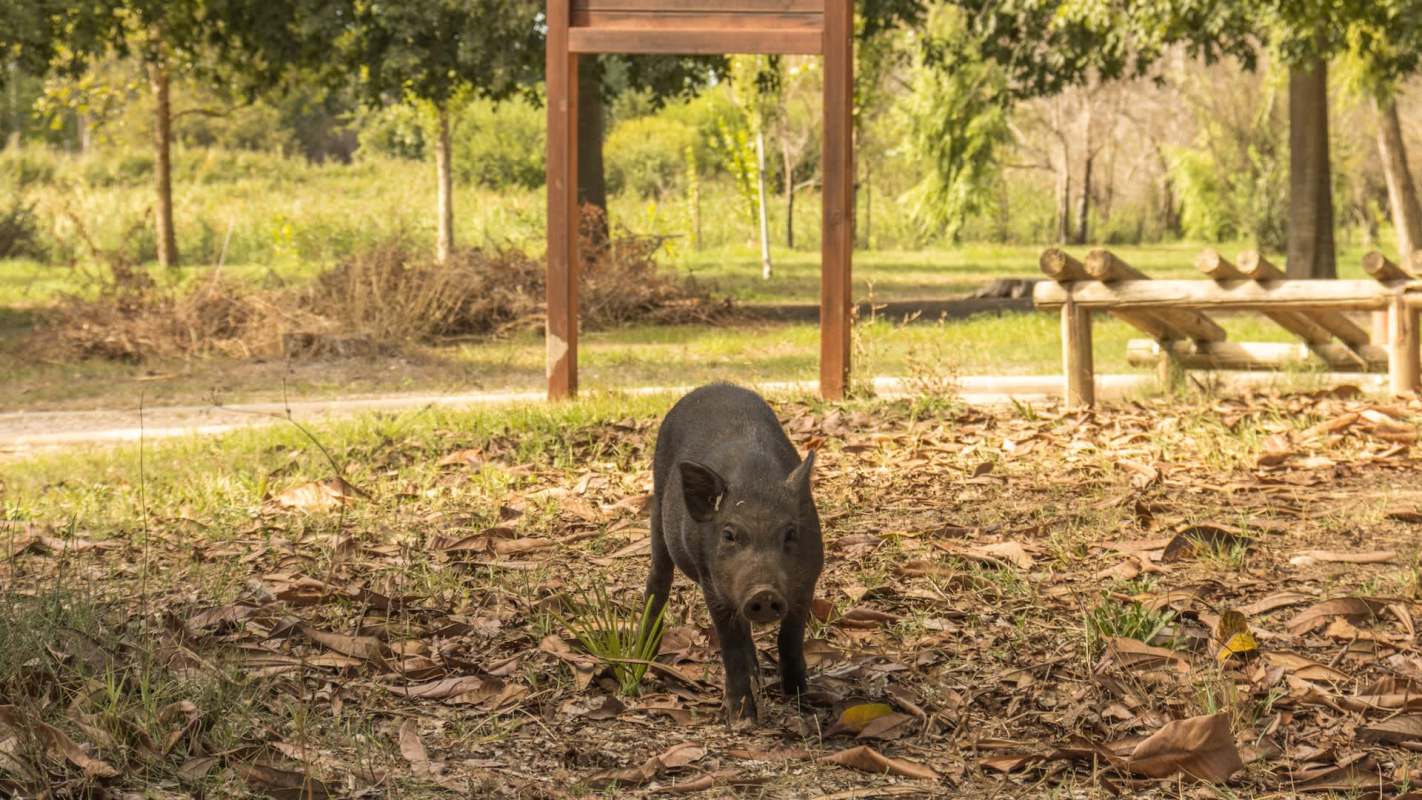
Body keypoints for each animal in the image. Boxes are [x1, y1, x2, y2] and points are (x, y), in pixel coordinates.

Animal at [644, 383, 823, 720]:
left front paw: (802, 700)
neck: (756, 481)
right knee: (658, 579)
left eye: (790, 533)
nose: (763, 592)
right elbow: (730, 645)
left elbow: (790, 637)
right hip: (657, 508)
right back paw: (643, 654)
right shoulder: (711, 583)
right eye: (729, 535)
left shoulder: (808, 580)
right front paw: (743, 720)